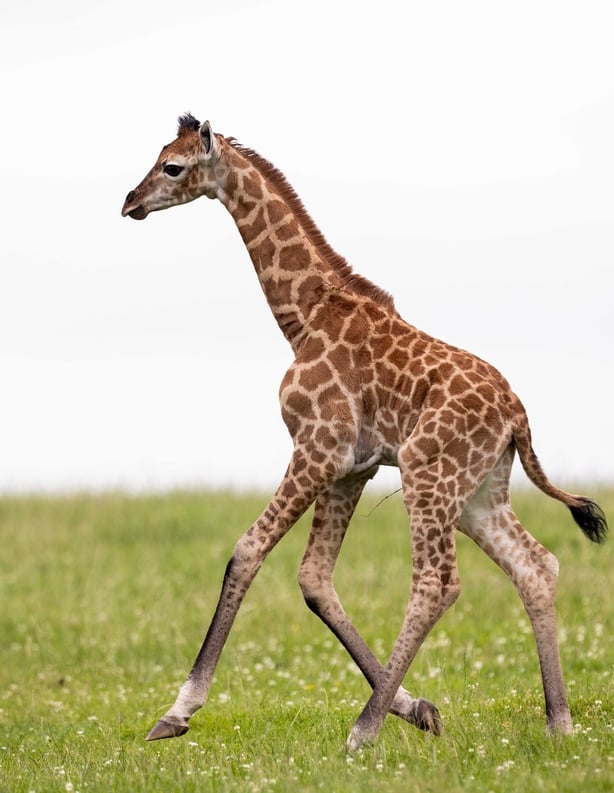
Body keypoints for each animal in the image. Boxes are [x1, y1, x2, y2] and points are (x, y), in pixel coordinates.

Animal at [121, 114, 607, 749]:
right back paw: (559, 722)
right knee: (535, 565)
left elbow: (247, 551)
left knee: (436, 584)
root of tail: (517, 416)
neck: (304, 315)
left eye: (172, 167)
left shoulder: (318, 447)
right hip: (479, 492)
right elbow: (314, 579)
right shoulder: (354, 467)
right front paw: (417, 706)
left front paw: (178, 710)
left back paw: (363, 729)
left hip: (428, 472)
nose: (130, 202)